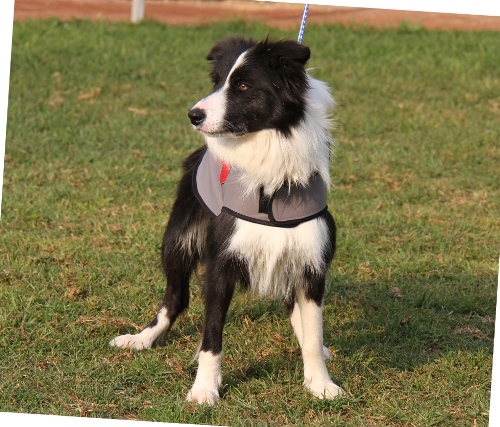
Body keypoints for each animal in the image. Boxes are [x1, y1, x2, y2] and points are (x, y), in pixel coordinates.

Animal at [109, 36, 344, 404]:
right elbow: (211, 337)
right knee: (175, 297)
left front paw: (320, 383)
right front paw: (204, 390)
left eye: (243, 86)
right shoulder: (221, 260)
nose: (193, 115)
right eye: (217, 82)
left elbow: (312, 330)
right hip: (178, 237)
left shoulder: (311, 260)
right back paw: (141, 338)